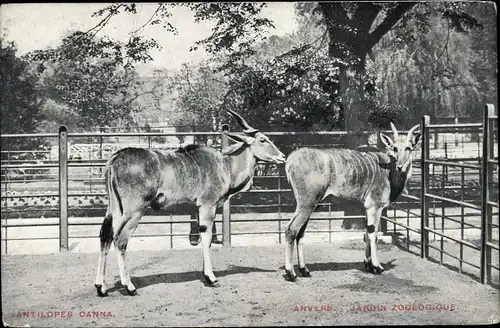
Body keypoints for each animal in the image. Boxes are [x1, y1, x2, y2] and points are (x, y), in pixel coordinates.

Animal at [94, 109, 286, 296]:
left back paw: (101, 287)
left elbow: (205, 239)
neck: (224, 166)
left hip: (114, 209)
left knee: (105, 236)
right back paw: (129, 286)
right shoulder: (208, 206)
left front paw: (205, 274)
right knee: (120, 239)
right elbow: (207, 237)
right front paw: (211, 278)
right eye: (263, 139)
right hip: (135, 210)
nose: (283, 157)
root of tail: (115, 159)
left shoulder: (198, 209)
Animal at [284, 121, 420, 280]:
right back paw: (291, 273)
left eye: (409, 148)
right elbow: (373, 233)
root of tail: (290, 160)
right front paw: (376, 267)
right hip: (307, 203)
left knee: (300, 233)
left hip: (309, 205)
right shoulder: (375, 206)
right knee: (291, 229)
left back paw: (304, 270)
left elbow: (367, 233)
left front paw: (368, 265)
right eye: (394, 147)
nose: (400, 166)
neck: (389, 171)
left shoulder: (367, 207)